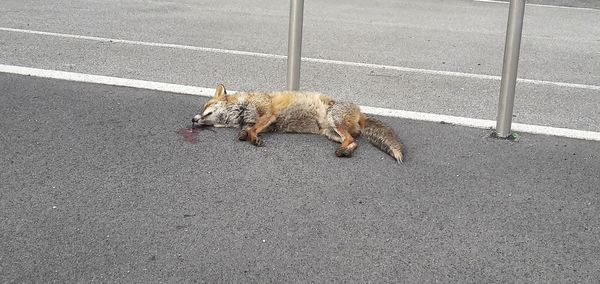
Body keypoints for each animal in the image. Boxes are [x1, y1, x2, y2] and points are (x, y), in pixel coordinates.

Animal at [191, 84, 408, 163]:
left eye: (206, 107)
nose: (193, 120)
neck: (242, 109)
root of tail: (361, 112)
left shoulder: (268, 115)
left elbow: (254, 129)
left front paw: (253, 139)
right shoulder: (262, 122)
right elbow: (248, 129)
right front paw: (244, 134)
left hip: (334, 122)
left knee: (352, 140)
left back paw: (343, 152)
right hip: (330, 133)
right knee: (354, 142)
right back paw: (345, 152)